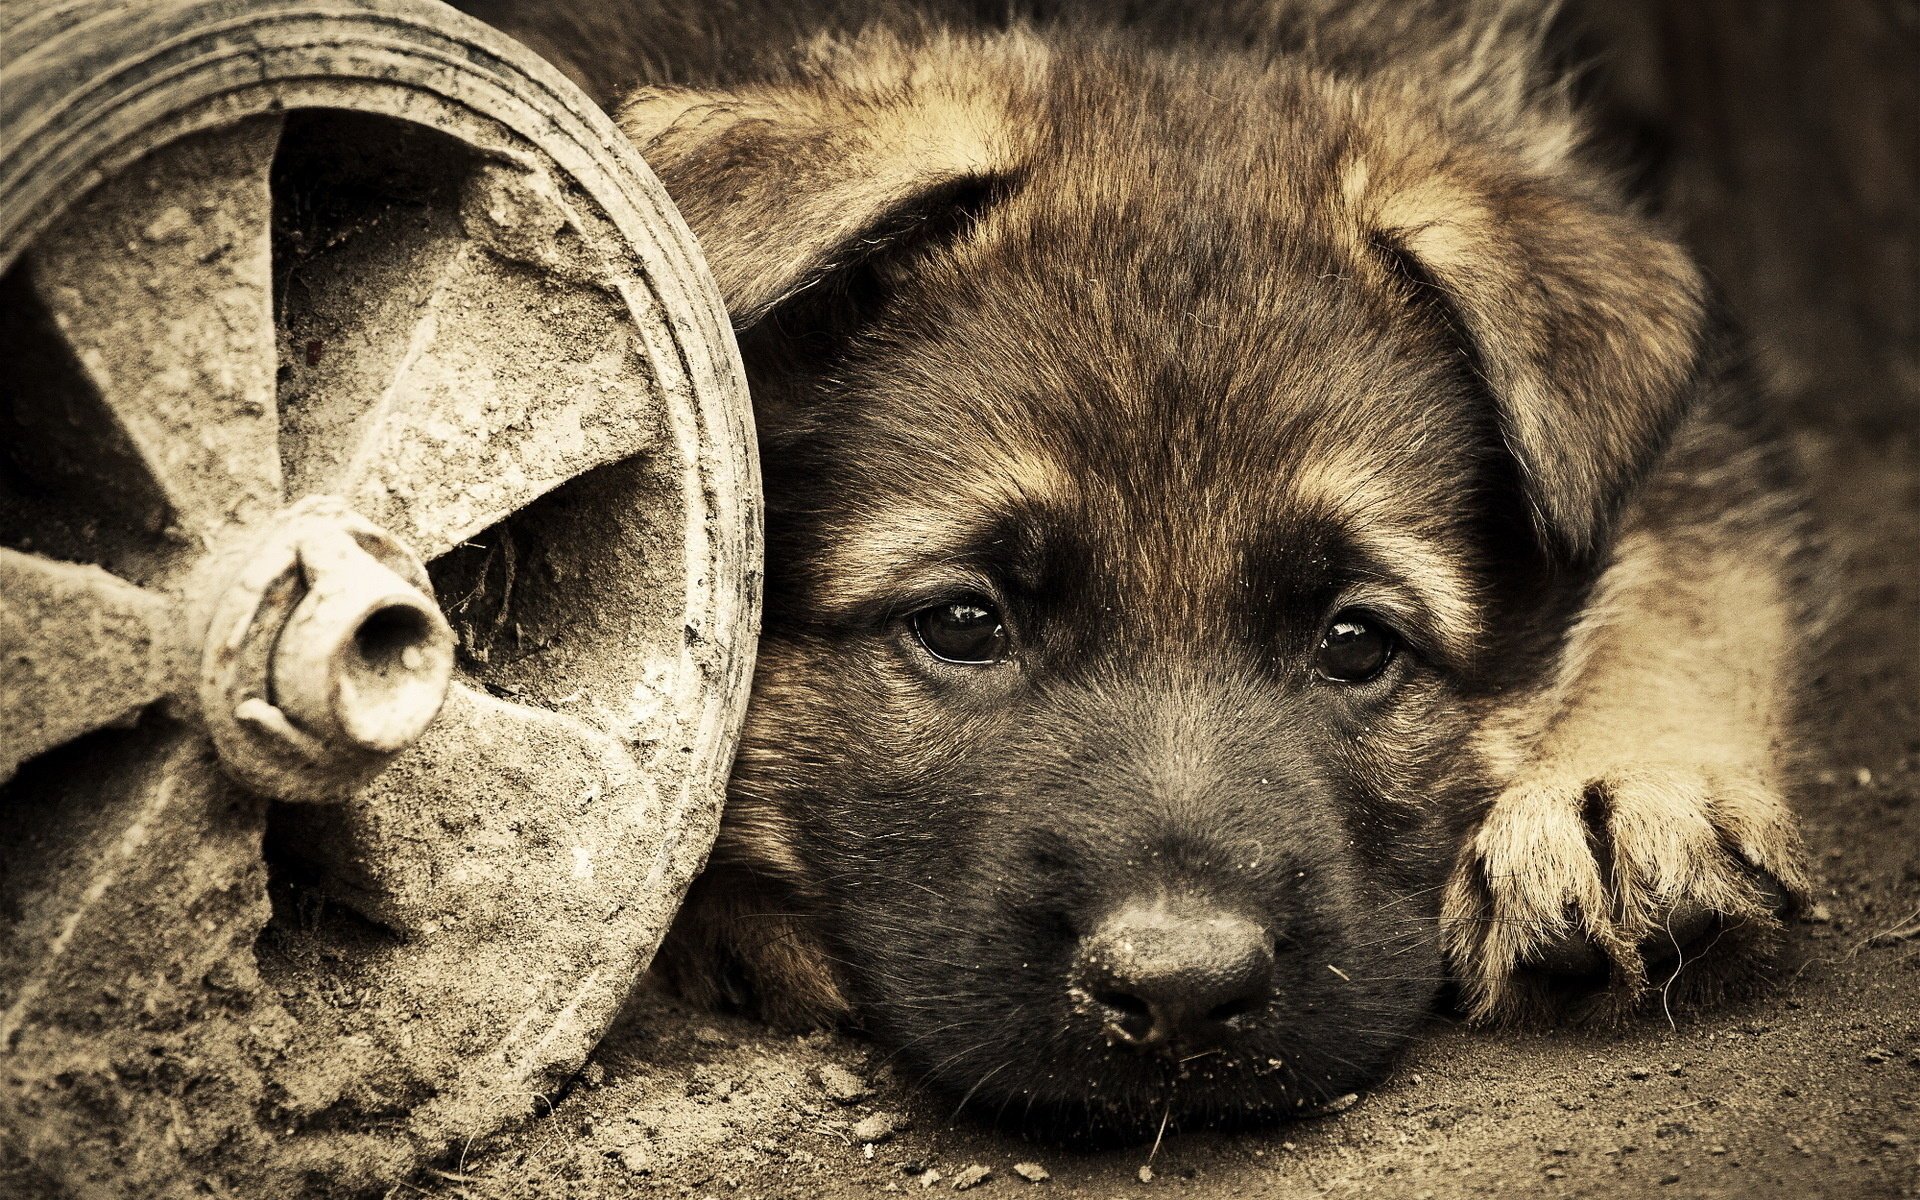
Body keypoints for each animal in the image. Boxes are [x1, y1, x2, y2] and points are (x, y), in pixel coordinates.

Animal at [468, 0, 1812, 1136]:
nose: (1178, 995)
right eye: (963, 623)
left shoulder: (1713, 444)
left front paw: (1625, 790)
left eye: (1356, 641)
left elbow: (1692, 572)